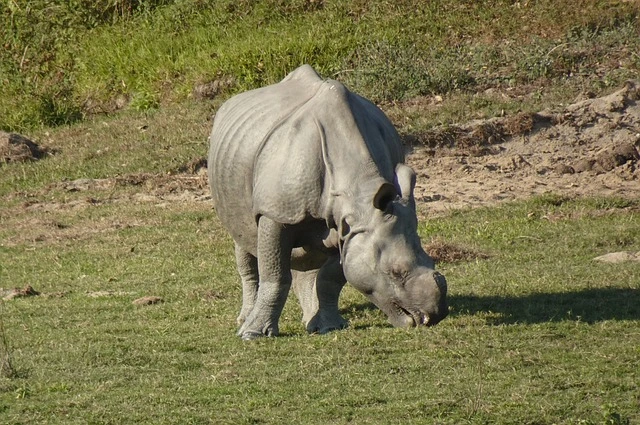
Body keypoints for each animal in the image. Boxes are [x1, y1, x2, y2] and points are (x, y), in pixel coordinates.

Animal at [208, 65, 448, 340]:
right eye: (397, 273)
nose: (433, 316)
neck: (360, 195)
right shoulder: (276, 212)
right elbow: (275, 273)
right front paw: (253, 334)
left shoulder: (350, 226)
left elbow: (331, 277)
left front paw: (330, 326)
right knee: (244, 237)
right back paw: (245, 320)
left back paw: (310, 321)